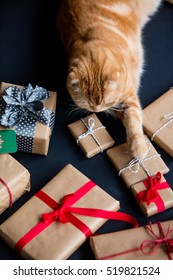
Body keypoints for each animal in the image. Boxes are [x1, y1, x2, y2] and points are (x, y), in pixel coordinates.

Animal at [57, 0, 170, 159]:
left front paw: (138, 146)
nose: (97, 110)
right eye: (87, 105)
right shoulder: (117, 104)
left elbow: (132, 118)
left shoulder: (128, 95)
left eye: (105, 102)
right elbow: (127, 117)